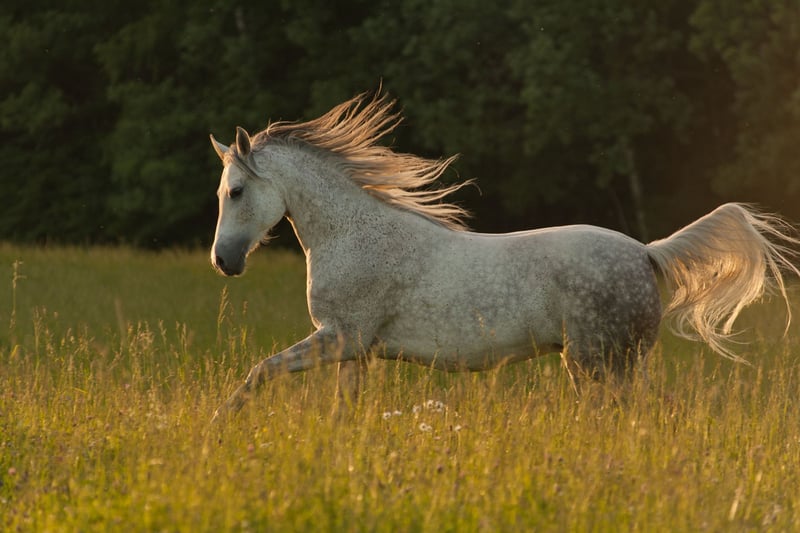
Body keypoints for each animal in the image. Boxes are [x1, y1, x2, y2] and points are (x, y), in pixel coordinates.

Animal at [208, 93, 800, 422]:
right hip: (605, 363)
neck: (355, 236)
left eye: (235, 191)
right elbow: (339, 414)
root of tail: (646, 253)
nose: (224, 262)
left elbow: (259, 373)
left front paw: (218, 426)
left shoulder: (340, 338)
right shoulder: (354, 350)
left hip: (600, 362)